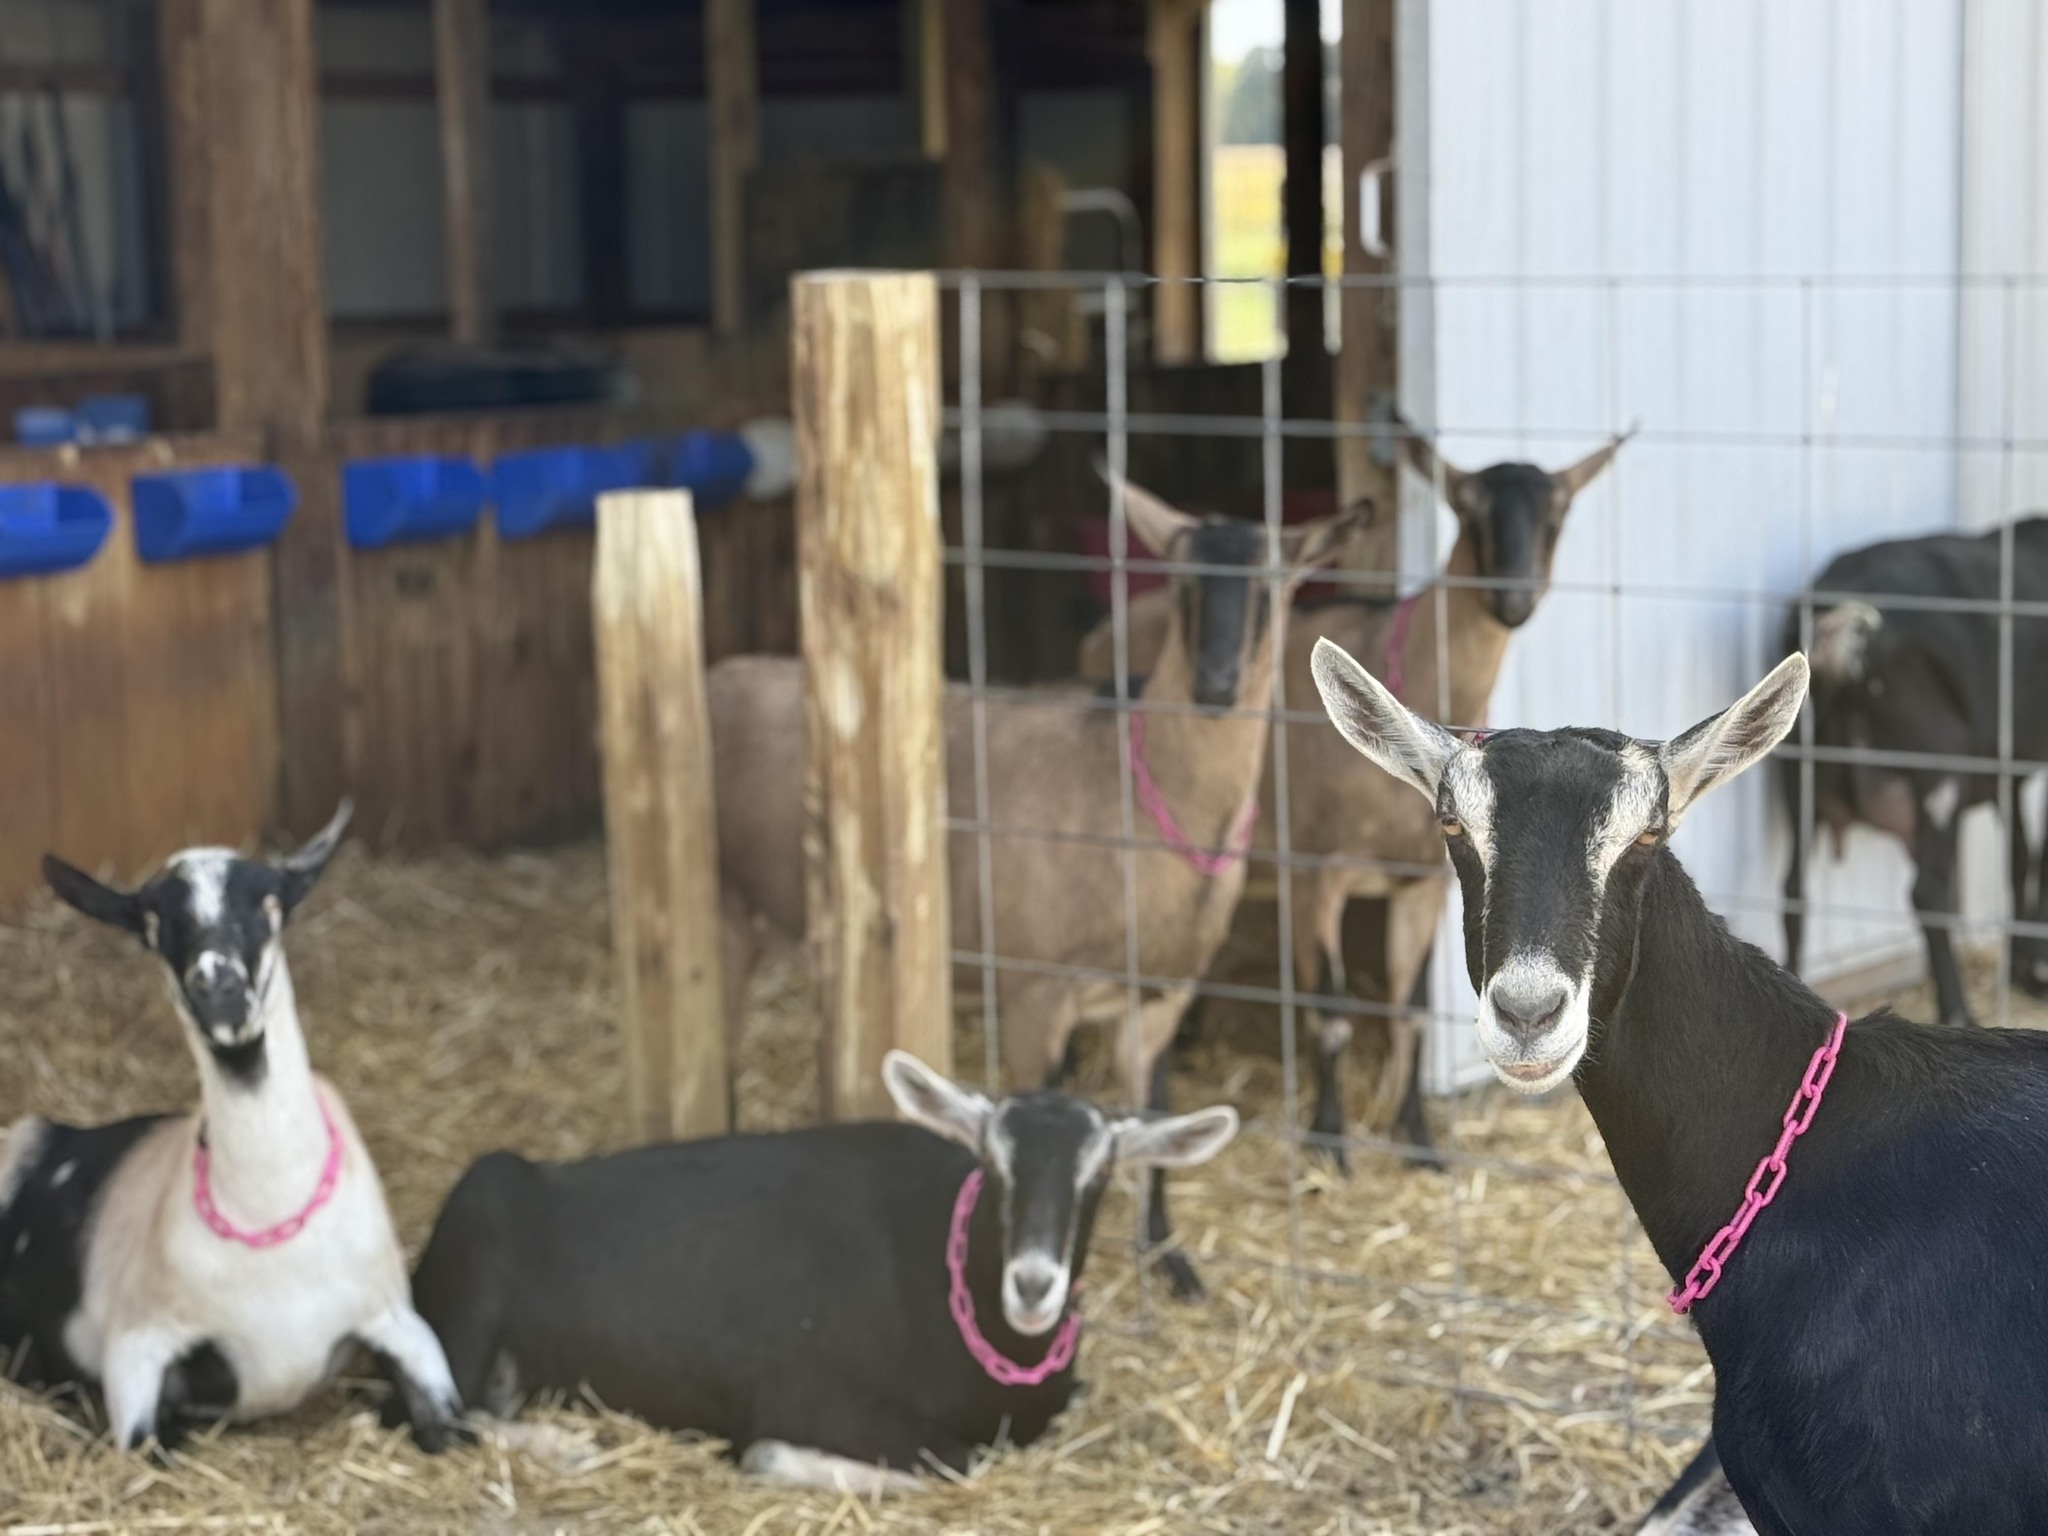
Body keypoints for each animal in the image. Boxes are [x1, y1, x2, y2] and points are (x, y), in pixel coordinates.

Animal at [0, 804, 460, 1451]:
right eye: (153, 922)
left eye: (270, 903)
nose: (217, 988)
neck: (267, 1212)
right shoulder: (135, 1353)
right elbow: (149, 1445)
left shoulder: (406, 1329)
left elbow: (455, 1429)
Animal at [409, 1050, 1237, 1493]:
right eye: (993, 1163)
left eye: (1097, 1177)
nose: (1034, 1285)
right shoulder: (805, 1396)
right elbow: (952, 1461)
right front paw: (772, 1460)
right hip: (470, 1273)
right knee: (430, 1418)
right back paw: (566, 1447)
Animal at [710, 481, 1356, 1298]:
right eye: (1181, 585)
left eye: (1274, 591)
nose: (1216, 686)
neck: (1132, 792)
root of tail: (721, 676)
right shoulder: (1035, 993)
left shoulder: (1162, 996)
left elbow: (1156, 1118)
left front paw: (1169, 1257)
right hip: (722, 905)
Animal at [1076, 428, 1629, 1165]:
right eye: (1466, 506)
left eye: (1557, 512)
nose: (1510, 596)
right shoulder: (1317, 874)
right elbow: (1332, 1015)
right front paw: (1329, 1141)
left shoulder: (1423, 884)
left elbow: (1412, 1007)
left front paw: (1416, 1136)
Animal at [1782, 518, 2048, 1027]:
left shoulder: (2005, 768)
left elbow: (2021, 853)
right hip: (1937, 766)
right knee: (1928, 892)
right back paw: (1959, 1013)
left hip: (1795, 768)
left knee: (1793, 892)